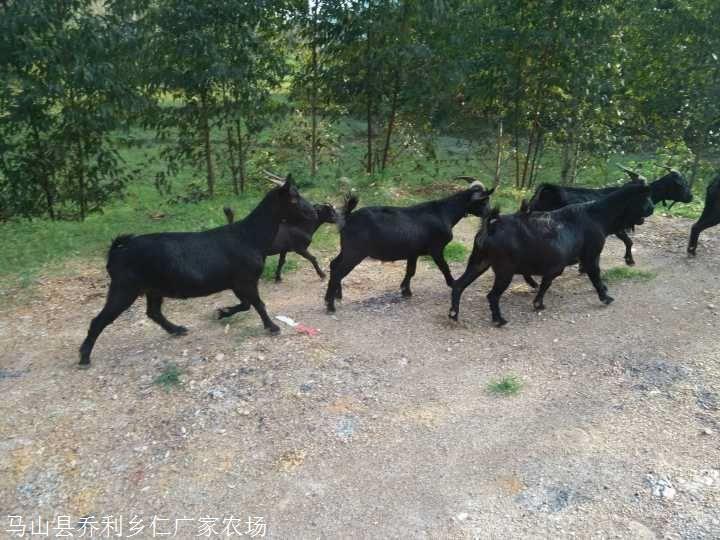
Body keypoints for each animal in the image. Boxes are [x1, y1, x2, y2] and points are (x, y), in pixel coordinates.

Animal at [79, 176, 316, 368]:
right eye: (293, 199)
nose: (313, 212)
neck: (249, 236)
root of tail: (117, 252)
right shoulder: (245, 280)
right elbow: (258, 304)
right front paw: (272, 327)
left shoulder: (237, 283)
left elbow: (247, 304)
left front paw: (223, 312)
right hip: (124, 288)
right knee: (99, 320)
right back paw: (84, 357)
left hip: (153, 288)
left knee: (153, 312)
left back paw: (176, 330)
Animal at [326, 177, 496, 312]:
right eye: (484, 201)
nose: (490, 214)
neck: (443, 212)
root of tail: (348, 218)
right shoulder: (436, 249)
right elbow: (444, 267)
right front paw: (452, 283)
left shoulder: (413, 252)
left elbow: (410, 271)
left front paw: (405, 291)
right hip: (355, 252)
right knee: (338, 271)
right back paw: (330, 305)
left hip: (346, 249)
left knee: (334, 264)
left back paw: (336, 295)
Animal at [452, 180, 656, 324]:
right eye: (645, 199)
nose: (652, 209)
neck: (598, 214)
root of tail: (491, 227)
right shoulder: (591, 256)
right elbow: (595, 276)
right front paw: (605, 297)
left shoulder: (557, 265)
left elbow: (547, 282)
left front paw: (538, 303)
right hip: (504, 270)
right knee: (492, 296)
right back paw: (498, 320)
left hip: (479, 263)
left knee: (458, 285)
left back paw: (453, 314)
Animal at [528, 166, 692, 264]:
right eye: (681, 184)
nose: (691, 197)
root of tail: (548, 189)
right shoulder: (618, 228)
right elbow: (629, 242)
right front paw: (629, 260)